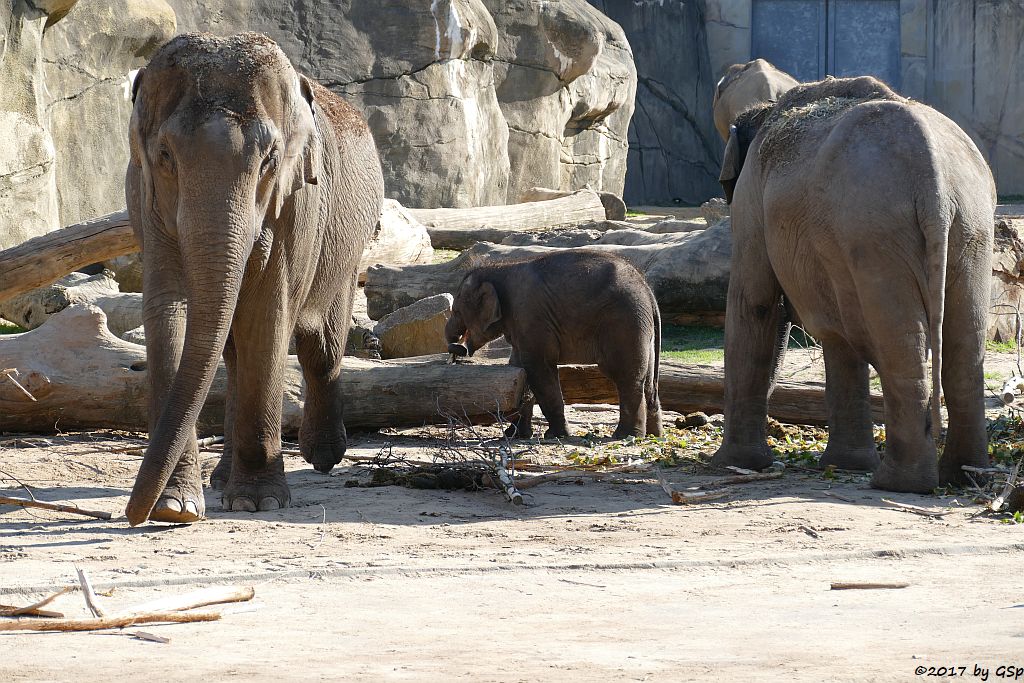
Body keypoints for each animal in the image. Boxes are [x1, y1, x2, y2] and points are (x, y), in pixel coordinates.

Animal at [444, 250, 659, 438]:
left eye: (456, 311)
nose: (456, 348)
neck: (500, 268)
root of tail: (648, 291)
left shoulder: (530, 316)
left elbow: (538, 369)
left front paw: (555, 435)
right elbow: (520, 369)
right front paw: (515, 435)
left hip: (624, 322)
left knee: (626, 376)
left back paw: (626, 435)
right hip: (641, 329)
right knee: (648, 382)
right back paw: (653, 434)